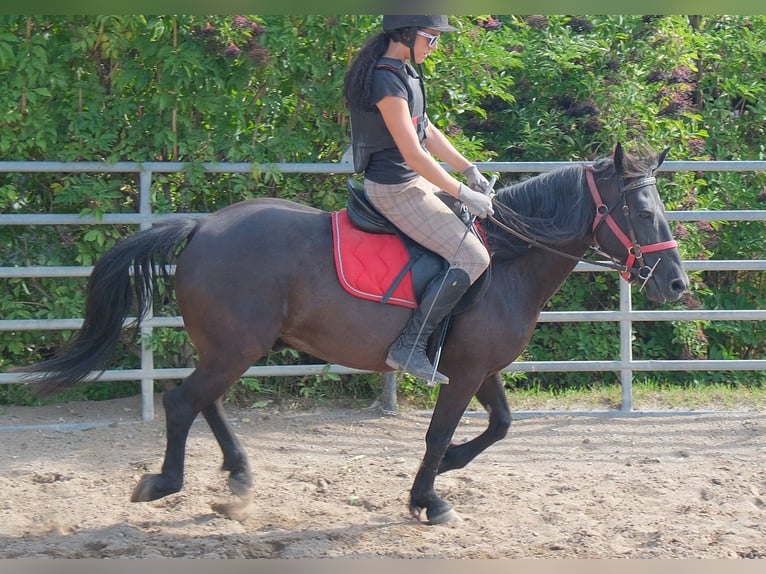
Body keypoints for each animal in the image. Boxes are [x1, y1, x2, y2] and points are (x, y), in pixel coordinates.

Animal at [17, 143, 689, 524]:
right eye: (641, 211)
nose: (677, 284)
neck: (505, 260)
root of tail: (204, 227)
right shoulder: (463, 372)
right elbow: (439, 431)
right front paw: (429, 498)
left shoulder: (482, 369)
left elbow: (499, 425)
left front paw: (447, 469)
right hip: (236, 348)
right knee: (183, 400)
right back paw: (165, 483)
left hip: (234, 348)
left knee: (202, 400)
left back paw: (237, 480)